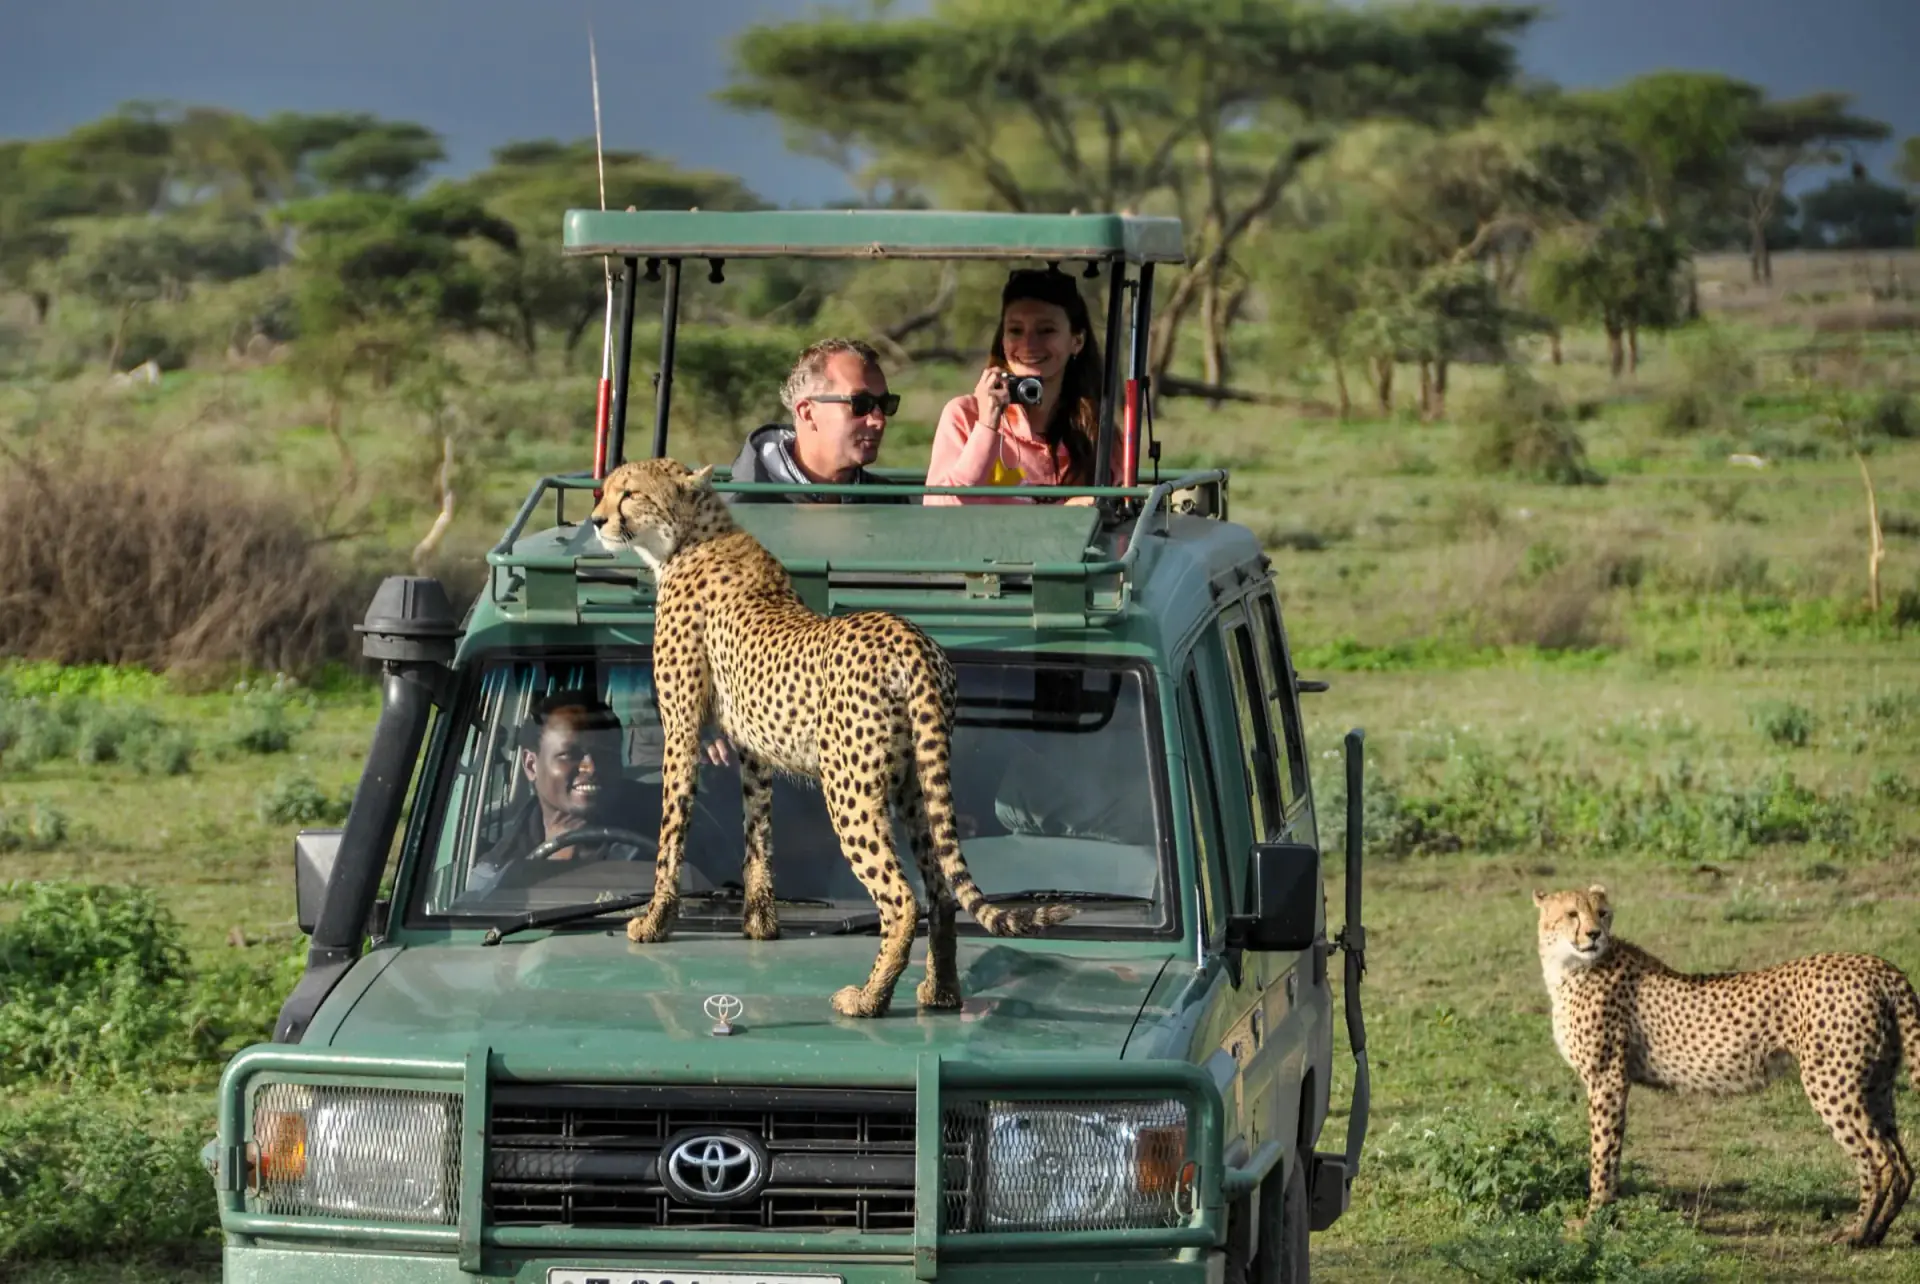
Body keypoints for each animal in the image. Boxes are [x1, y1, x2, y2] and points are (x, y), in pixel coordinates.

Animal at [589, 457, 1074, 1019]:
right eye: (606, 490)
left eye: (629, 494)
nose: (597, 521)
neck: (692, 537)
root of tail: (909, 637)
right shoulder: (754, 748)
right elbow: (758, 829)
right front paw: (760, 923)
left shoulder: (681, 729)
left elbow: (671, 829)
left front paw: (653, 921)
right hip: (917, 784)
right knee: (940, 888)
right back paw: (942, 992)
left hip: (850, 789)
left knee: (901, 898)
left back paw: (868, 998)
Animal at [1533, 884, 1919, 1247]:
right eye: (1572, 914)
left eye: (1602, 912)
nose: (1594, 934)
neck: (1568, 967)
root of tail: (1877, 964)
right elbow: (1608, 1152)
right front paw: (1603, 1216)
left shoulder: (1608, 1079)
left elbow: (1603, 1153)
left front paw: (1595, 1219)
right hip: (1877, 1083)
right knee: (1903, 1163)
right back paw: (1876, 1233)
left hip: (1831, 1083)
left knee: (1879, 1159)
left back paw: (1856, 1233)